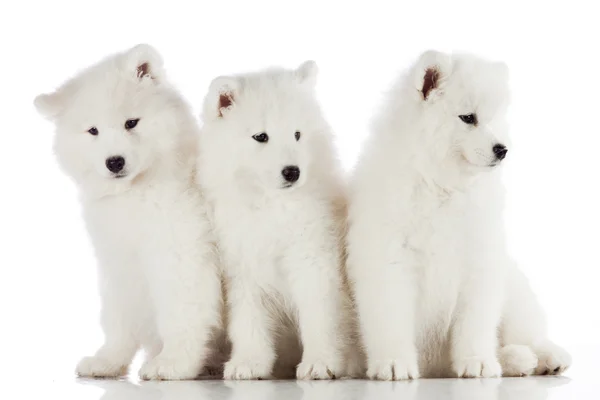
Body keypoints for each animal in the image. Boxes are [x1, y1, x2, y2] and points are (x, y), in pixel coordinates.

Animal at [33, 45, 225, 380]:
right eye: (93, 130)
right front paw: (107, 360)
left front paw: (173, 362)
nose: (115, 162)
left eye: (131, 123)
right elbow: (118, 319)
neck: (137, 194)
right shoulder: (119, 262)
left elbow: (182, 314)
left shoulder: (181, 256)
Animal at [197, 61, 364, 380]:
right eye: (261, 137)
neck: (271, 207)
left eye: (297, 134)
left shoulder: (313, 263)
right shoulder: (243, 269)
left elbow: (320, 318)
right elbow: (248, 321)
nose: (292, 172)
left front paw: (321, 362)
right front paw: (249, 363)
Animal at [344, 51, 568, 380]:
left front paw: (478, 361)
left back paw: (544, 356)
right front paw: (394, 363)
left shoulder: (478, 262)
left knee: (526, 334)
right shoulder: (390, 262)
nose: (503, 149)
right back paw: (519, 360)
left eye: (494, 119)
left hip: (513, 291)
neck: (441, 186)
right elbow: (391, 320)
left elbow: (474, 323)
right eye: (468, 118)